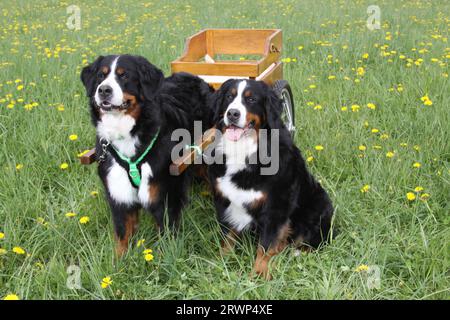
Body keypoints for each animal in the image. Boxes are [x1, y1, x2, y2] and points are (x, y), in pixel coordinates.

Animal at [80, 54, 214, 255]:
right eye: (100, 76)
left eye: (124, 75)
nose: (103, 90)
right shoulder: (119, 195)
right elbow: (122, 237)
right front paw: (119, 262)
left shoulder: (164, 195)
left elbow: (166, 242)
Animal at [208, 79, 334, 278]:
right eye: (229, 96)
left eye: (251, 99)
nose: (233, 113)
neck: (244, 150)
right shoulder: (223, 200)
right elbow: (227, 236)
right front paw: (222, 262)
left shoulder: (276, 207)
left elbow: (266, 246)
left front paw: (259, 274)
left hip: (320, 203)